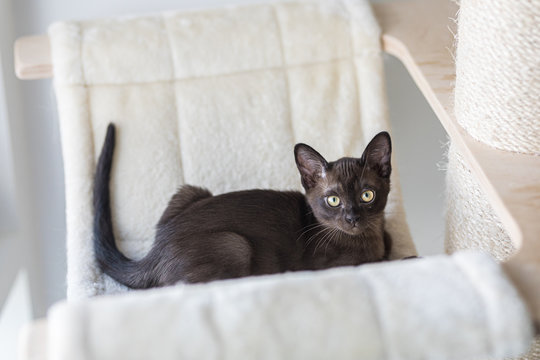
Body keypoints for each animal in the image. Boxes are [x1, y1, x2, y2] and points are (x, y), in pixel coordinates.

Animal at [94, 124, 392, 290]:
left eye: (367, 195)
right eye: (333, 200)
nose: (352, 218)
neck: (370, 238)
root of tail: (154, 252)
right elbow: (381, 260)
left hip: (191, 191)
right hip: (235, 243)